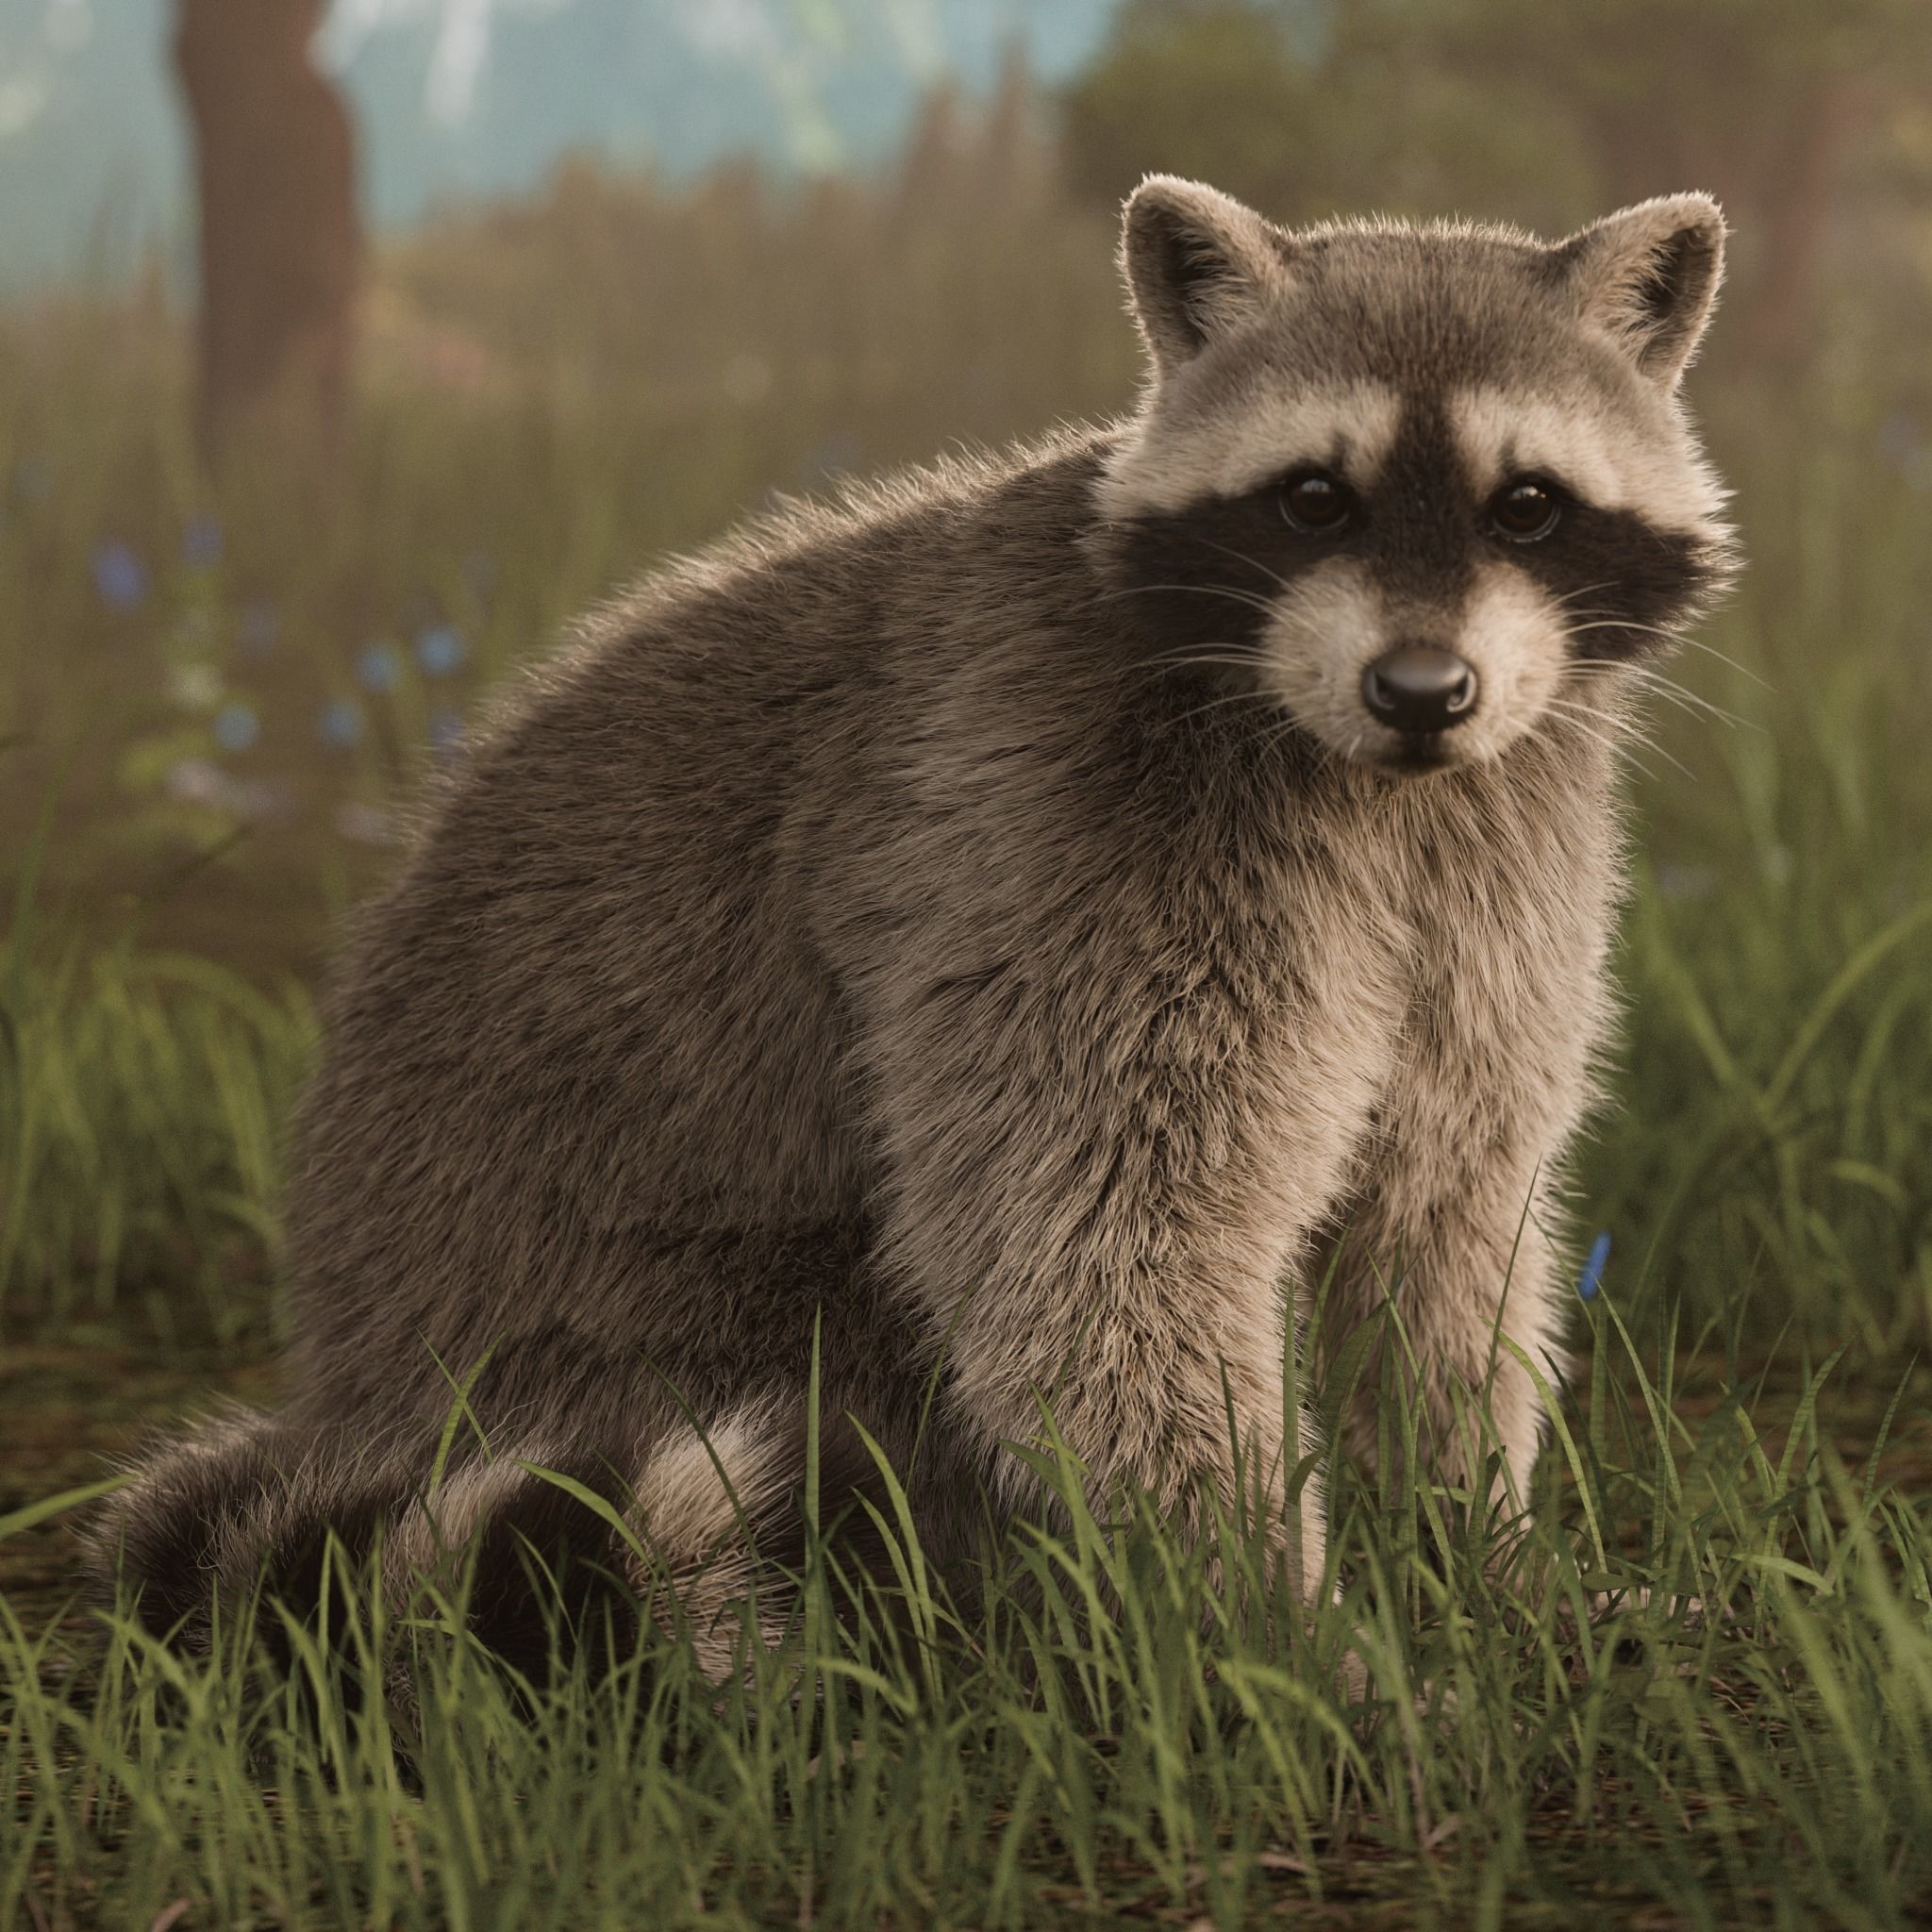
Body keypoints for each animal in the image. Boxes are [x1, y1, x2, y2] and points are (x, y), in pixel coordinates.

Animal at [93, 177, 1734, 1671]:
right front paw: (1266, 1632)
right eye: (1312, 497)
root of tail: (360, 1388)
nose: (1421, 691)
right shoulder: (1060, 829)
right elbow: (1098, 1246)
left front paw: (1474, 1555)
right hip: (635, 1316)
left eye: (1528, 504)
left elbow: (1448, 1205)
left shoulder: (1502, 850)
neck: (1368, 769)